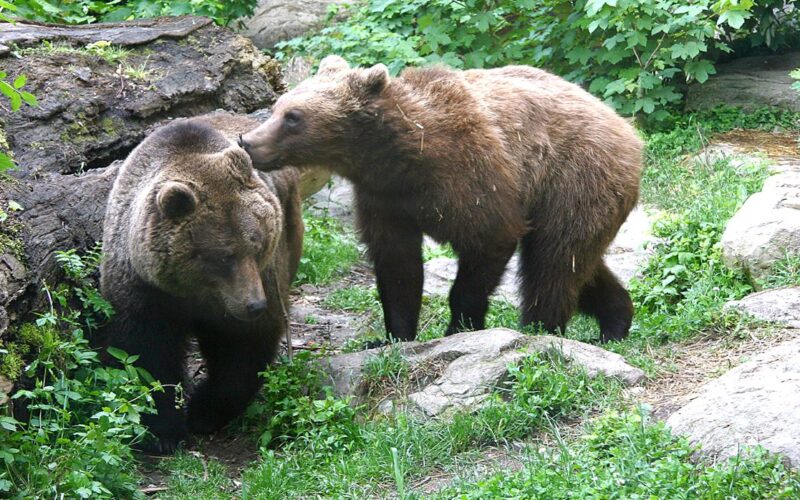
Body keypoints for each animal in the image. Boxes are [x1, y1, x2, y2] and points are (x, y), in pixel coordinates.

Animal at [100, 112, 303, 453]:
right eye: (222, 256)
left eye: (257, 243)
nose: (254, 304)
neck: (194, 291)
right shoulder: (144, 288)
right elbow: (146, 353)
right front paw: (163, 432)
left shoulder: (257, 279)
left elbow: (241, 347)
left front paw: (205, 412)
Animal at [240, 56, 643, 344]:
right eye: (279, 106)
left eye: (293, 117)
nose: (248, 141)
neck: (399, 157)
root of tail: (627, 129)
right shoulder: (385, 199)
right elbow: (397, 266)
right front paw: (393, 335)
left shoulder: (472, 176)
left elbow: (487, 241)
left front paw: (460, 326)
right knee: (578, 262)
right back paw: (616, 320)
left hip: (573, 177)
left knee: (554, 260)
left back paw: (540, 326)